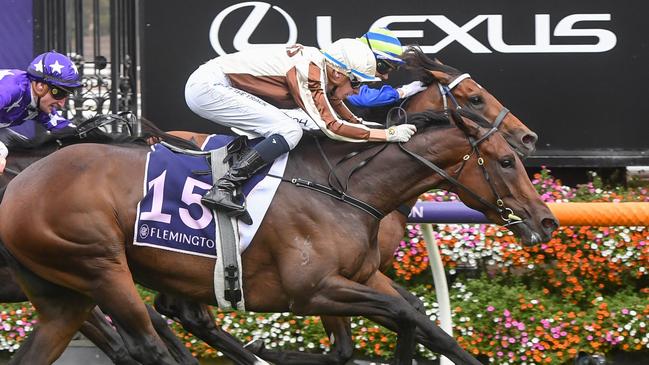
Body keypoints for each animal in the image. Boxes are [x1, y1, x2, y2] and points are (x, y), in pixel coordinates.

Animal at [0, 109, 556, 364]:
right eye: (506, 162)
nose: (546, 220)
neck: (346, 187)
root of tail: (18, 189)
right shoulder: (310, 290)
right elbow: (403, 315)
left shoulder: (358, 276)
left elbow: (418, 317)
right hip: (99, 265)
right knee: (147, 345)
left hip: (65, 296)